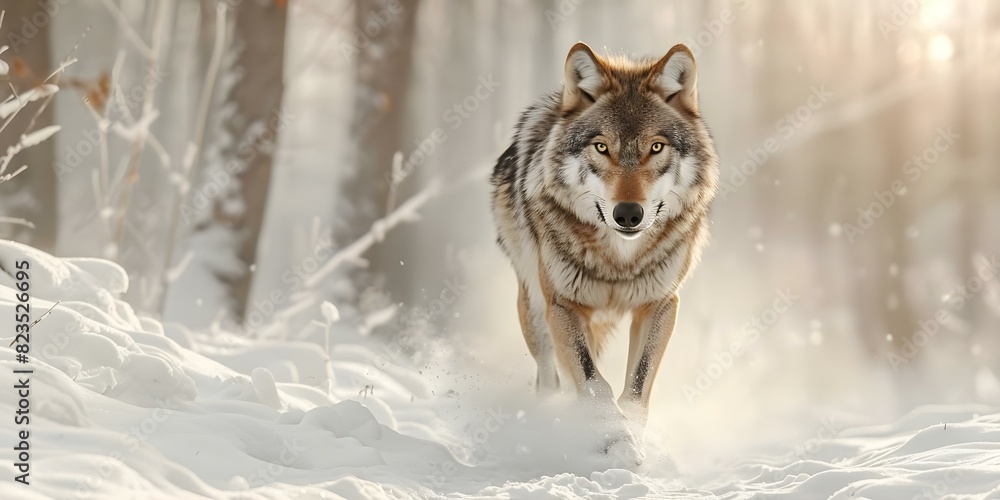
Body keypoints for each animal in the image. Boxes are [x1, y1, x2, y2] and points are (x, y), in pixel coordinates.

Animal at [490, 42, 719, 454]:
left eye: (656, 147)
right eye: (601, 147)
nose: (628, 213)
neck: (618, 262)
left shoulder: (661, 304)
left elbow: (637, 387)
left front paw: (629, 437)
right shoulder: (562, 305)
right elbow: (594, 382)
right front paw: (614, 437)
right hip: (535, 311)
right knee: (549, 379)